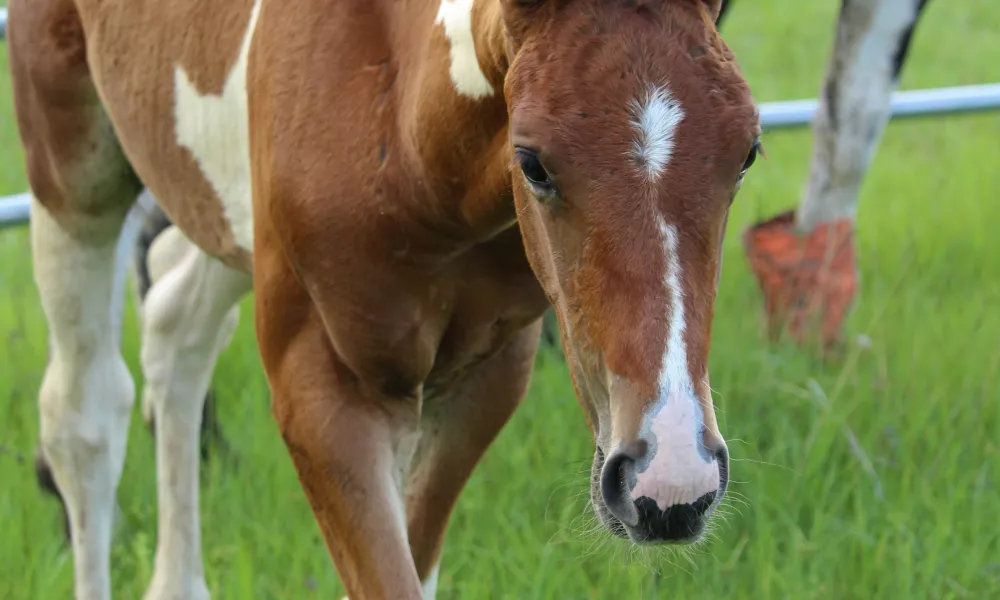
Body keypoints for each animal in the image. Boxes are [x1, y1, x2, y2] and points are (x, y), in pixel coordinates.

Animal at [7, 0, 756, 596]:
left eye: (746, 154)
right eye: (533, 162)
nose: (671, 483)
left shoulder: (482, 382)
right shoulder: (323, 390)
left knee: (173, 321)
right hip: (73, 173)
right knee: (85, 415)